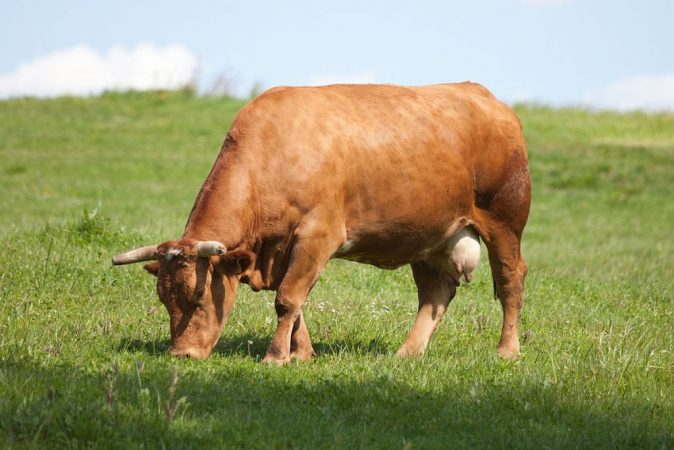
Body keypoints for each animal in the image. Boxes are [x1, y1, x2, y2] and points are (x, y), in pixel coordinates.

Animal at [112, 82, 530, 365]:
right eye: (163, 299)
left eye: (198, 298)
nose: (180, 355)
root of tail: (484, 95)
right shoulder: (282, 249)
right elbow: (295, 302)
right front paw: (302, 354)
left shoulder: (318, 235)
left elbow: (287, 298)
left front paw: (275, 356)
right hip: (429, 236)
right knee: (435, 294)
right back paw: (407, 353)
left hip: (504, 221)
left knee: (510, 280)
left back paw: (507, 350)